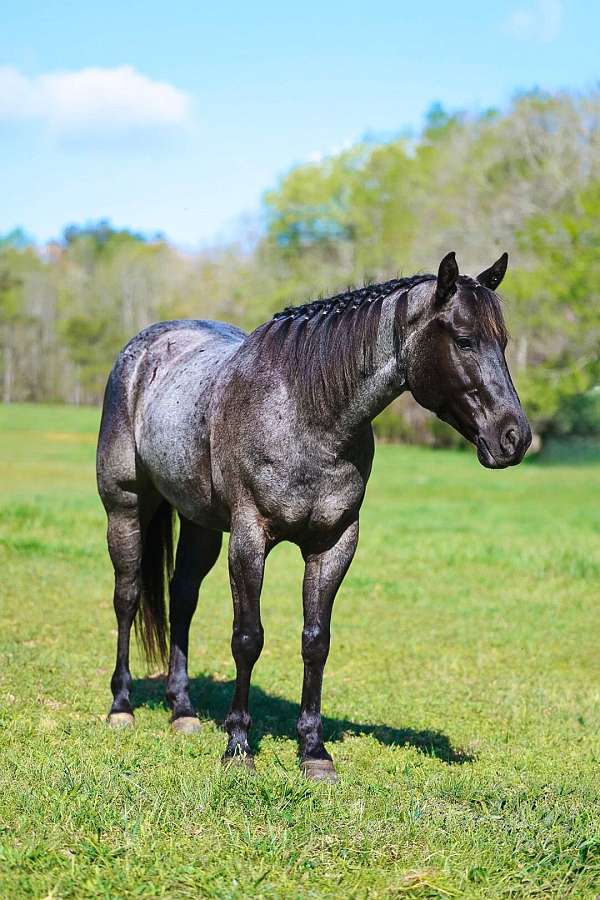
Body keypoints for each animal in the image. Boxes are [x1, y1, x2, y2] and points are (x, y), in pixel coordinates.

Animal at [96, 250, 531, 781]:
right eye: (465, 339)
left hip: (200, 523)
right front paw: (238, 746)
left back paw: (183, 711)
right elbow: (248, 638)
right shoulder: (249, 539)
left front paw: (313, 751)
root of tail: (146, 347)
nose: (515, 437)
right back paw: (122, 706)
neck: (307, 411)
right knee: (127, 597)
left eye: (502, 342)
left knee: (182, 600)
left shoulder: (334, 543)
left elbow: (315, 641)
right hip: (126, 509)